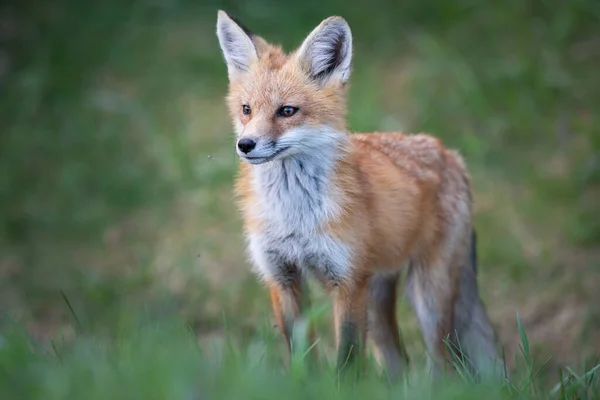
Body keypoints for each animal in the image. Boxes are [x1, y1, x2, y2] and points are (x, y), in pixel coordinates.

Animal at [214, 9, 502, 378]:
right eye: (246, 109)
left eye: (287, 111)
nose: (245, 144)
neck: (295, 218)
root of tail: (451, 153)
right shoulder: (282, 276)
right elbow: (302, 356)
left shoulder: (347, 282)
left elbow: (348, 361)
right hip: (378, 300)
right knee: (399, 363)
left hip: (427, 299)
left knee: (445, 366)